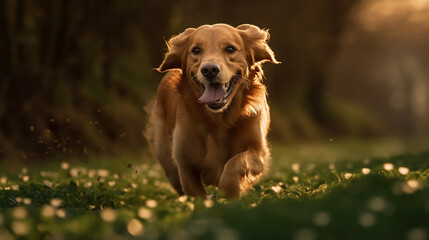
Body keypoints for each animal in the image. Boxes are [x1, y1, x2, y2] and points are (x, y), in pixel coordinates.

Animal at [144, 23, 278, 198]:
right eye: (196, 50)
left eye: (230, 49)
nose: (209, 70)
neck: (219, 120)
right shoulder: (184, 164)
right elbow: (196, 193)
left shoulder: (258, 150)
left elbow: (234, 164)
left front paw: (229, 193)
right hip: (165, 156)